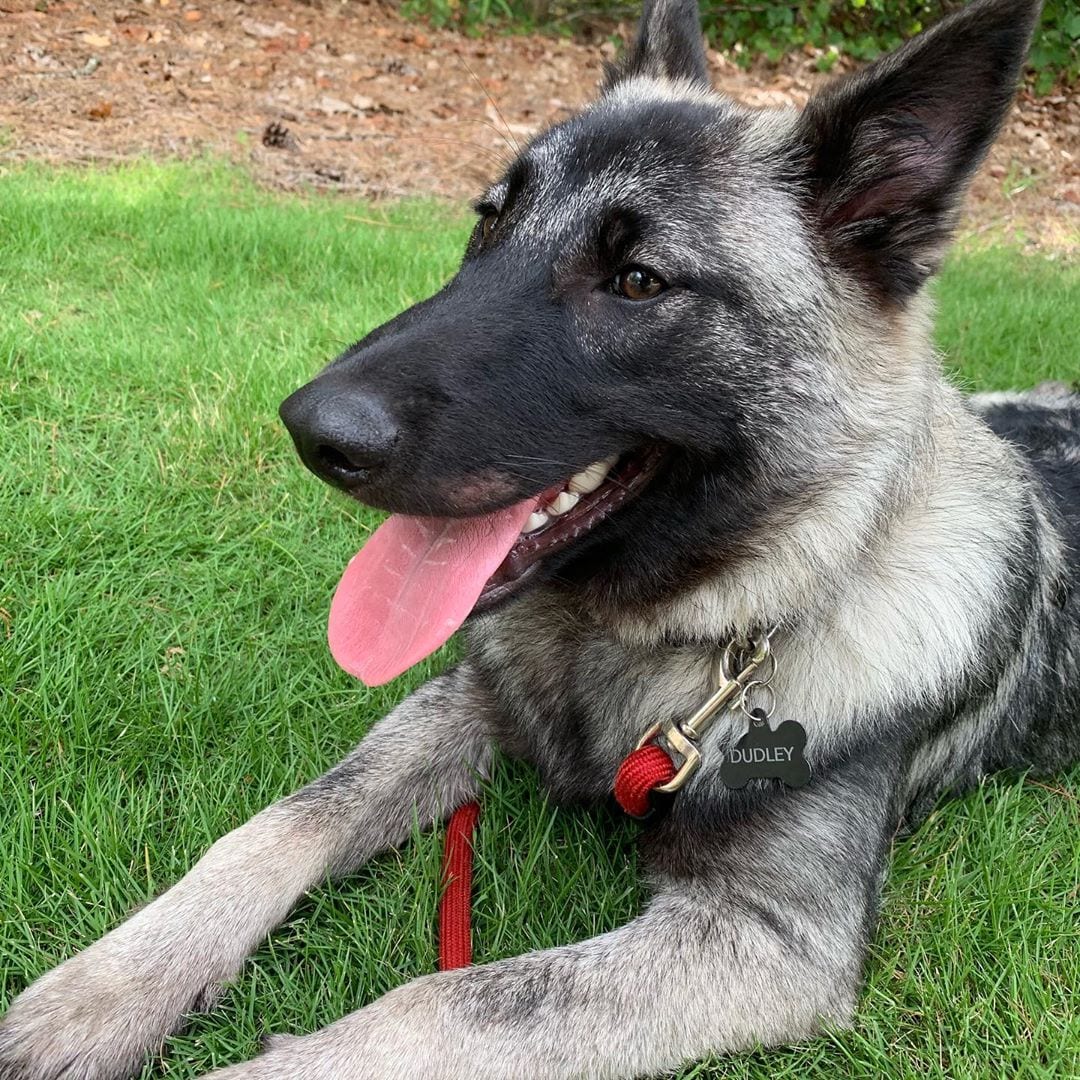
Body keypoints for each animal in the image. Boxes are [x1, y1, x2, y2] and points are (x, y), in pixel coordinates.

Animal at [4, 0, 1075, 1075]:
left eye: (638, 280)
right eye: (489, 221)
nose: (313, 432)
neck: (689, 630)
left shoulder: (763, 936)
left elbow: (448, 1000)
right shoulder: (460, 706)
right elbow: (280, 825)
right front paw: (110, 986)